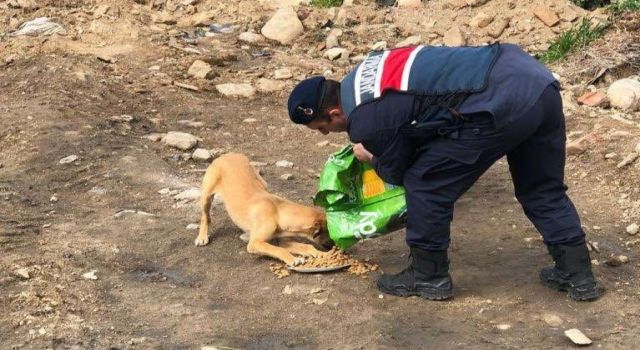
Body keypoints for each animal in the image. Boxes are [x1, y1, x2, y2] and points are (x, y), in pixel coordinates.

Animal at [196, 152, 330, 266]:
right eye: (329, 233)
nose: (332, 245)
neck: (277, 210)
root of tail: (227, 154)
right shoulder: (255, 243)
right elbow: (279, 250)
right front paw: (292, 259)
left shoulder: (283, 240)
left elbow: (306, 246)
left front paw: (321, 254)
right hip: (206, 196)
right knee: (205, 217)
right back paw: (202, 237)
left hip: (262, 182)